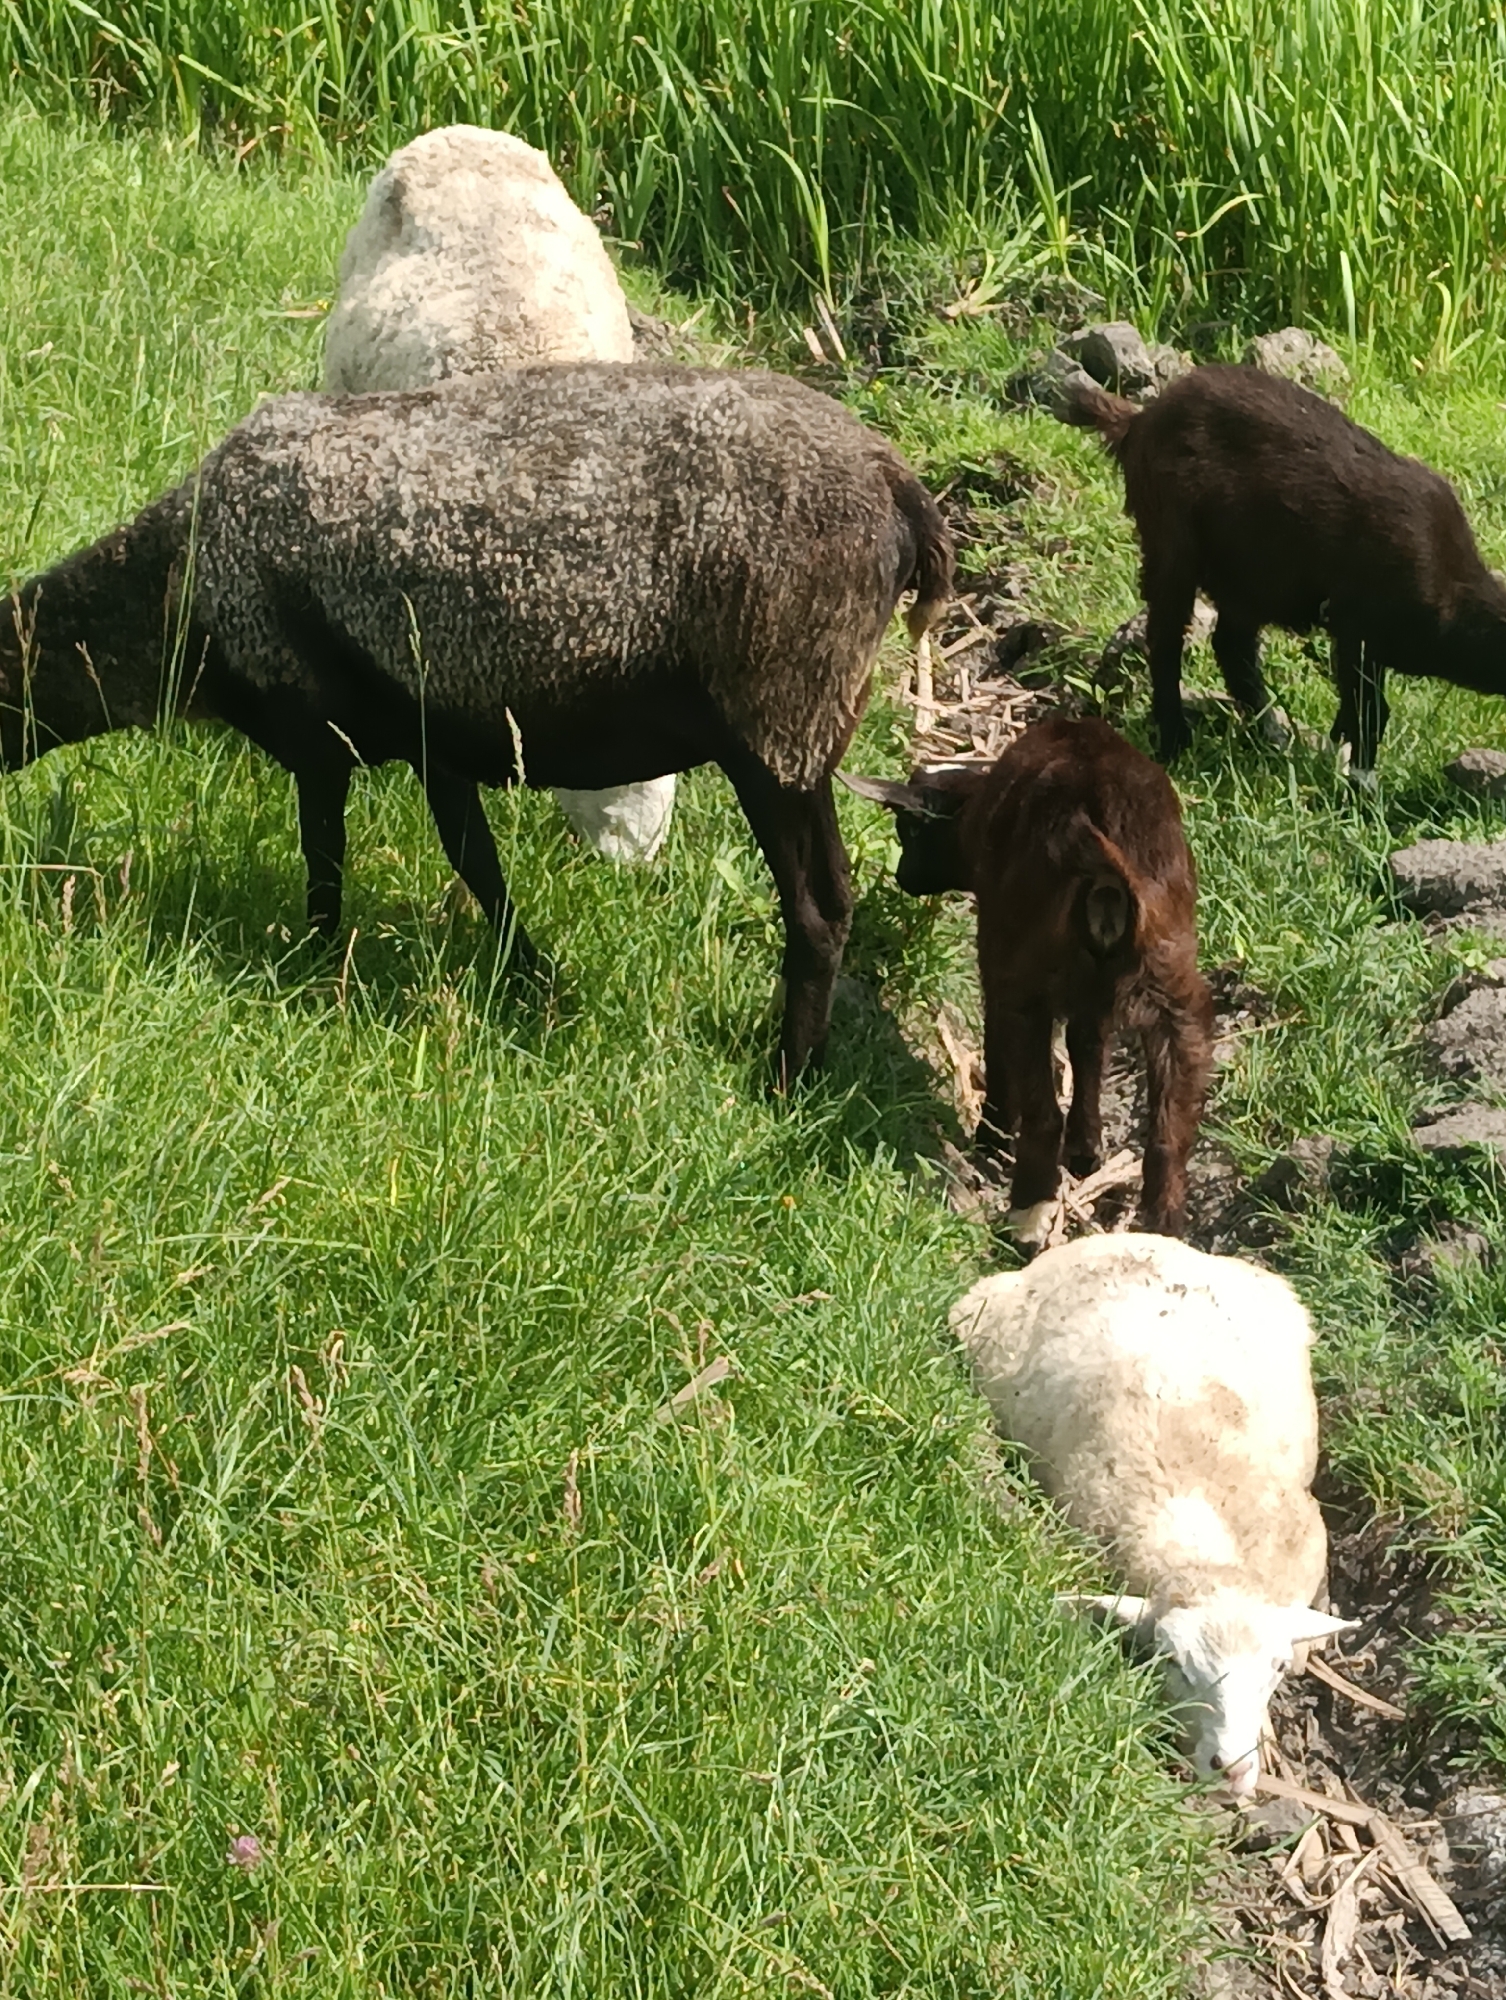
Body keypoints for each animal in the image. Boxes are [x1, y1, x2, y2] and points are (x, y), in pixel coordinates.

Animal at [1, 362, 951, 1082]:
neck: (175, 597)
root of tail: (900, 487)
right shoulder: (437, 735)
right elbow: (479, 867)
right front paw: (532, 978)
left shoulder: (318, 734)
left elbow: (326, 861)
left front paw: (313, 965)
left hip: (781, 724)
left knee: (820, 909)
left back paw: (787, 1078)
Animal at [845, 716, 1212, 1244]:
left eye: (908, 830)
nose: (903, 877)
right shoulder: (1092, 1002)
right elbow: (1088, 1051)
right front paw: (1086, 1151)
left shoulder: (996, 955)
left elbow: (999, 1052)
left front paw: (992, 1139)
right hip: (1175, 989)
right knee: (1168, 1133)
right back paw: (1163, 1233)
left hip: (1029, 980)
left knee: (1042, 1114)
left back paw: (1025, 1211)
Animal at [1064, 363, 1506, 773]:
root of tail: (1139, 422)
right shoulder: (1356, 624)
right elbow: (1370, 709)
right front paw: (1359, 778)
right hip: (1172, 539)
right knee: (1168, 638)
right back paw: (1176, 741)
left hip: (1249, 571)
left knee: (1232, 646)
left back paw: (1271, 736)